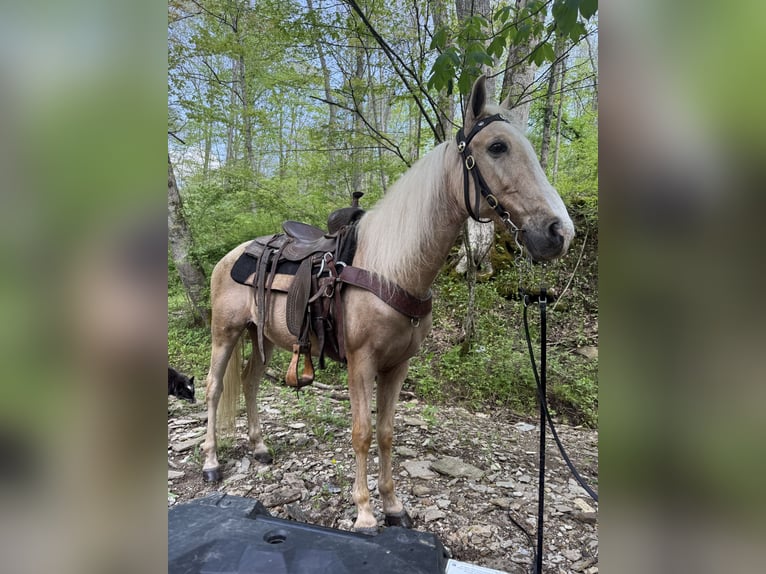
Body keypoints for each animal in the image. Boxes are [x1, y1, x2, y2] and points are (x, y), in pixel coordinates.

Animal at [200, 75, 575, 534]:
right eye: (498, 147)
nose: (559, 232)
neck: (391, 267)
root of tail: (232, 255)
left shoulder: (398, 366)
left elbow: (386, 433)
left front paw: (393, 506)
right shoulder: (361, 363)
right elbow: (362, 432)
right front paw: (364, 513)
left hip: (265, 336)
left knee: (251, 381)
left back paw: (259, 447)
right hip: (225, 333)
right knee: (215, 387)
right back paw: (211, 463)